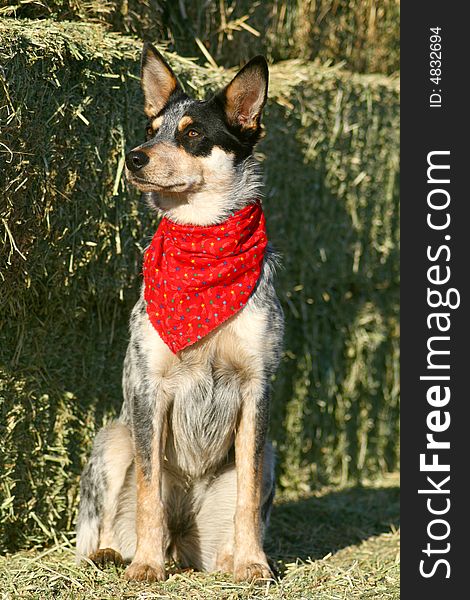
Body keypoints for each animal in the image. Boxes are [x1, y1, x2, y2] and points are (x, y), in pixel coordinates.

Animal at [75, 41, 284, 580]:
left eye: (192, 134)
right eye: (152, 130)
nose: (133, 156)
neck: (202, 243)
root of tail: (183, 542)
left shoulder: (256, 388)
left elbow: (247, 491)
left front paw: (252, 563)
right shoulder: (150, 388)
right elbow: (149, 490)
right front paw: (146, 567)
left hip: (272, 454)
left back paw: (229, 557)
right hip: (112, 440)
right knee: (100, 530)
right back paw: (115, 554)